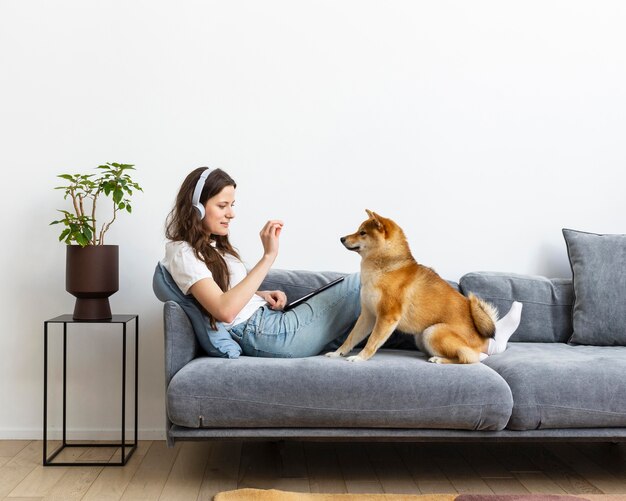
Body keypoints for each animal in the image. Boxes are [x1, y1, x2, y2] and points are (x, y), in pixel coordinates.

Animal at [326, 208, 498, 364]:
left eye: (362, 233)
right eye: (358, 230)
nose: (342, 238)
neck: (383, 268)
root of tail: (482, 339)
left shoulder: (387, 316)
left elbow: (372, 341)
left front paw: (360, 357)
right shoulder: (368, 315)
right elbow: (350, 339)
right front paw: (337, 353)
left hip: (432, 332)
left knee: (467, 357)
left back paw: (439, 359)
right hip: (420, 338)